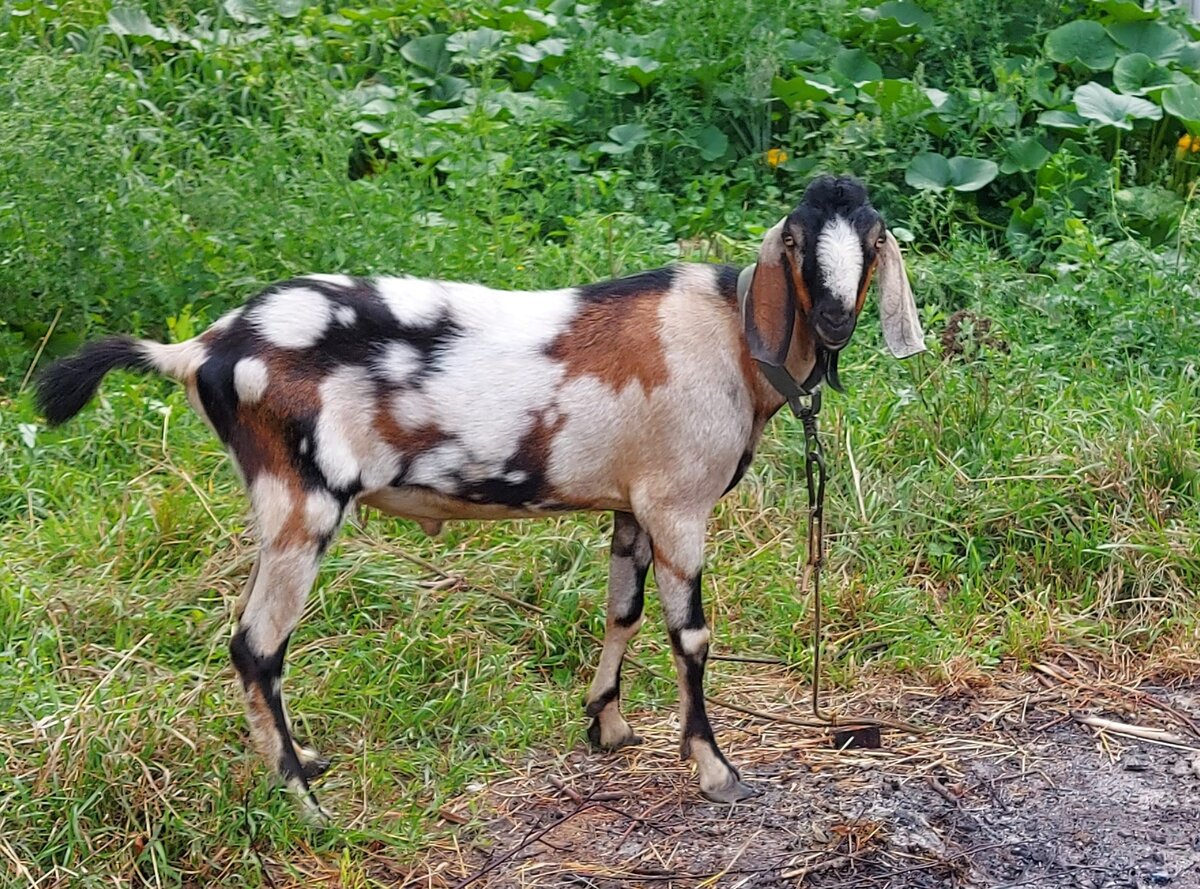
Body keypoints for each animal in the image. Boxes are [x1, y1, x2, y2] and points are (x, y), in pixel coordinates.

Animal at [35, 175, 916, 820]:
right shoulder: (678, 504)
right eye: (797, 241)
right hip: (302, 501)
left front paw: (607, 723)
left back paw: (305, 760)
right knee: (256, 645)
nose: (833, 316)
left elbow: (622, 612)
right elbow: (691, 638)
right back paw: (305, 800)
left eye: (871, 238)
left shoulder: (633, 504)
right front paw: (713, 766)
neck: (729, 340)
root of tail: (202, 349)